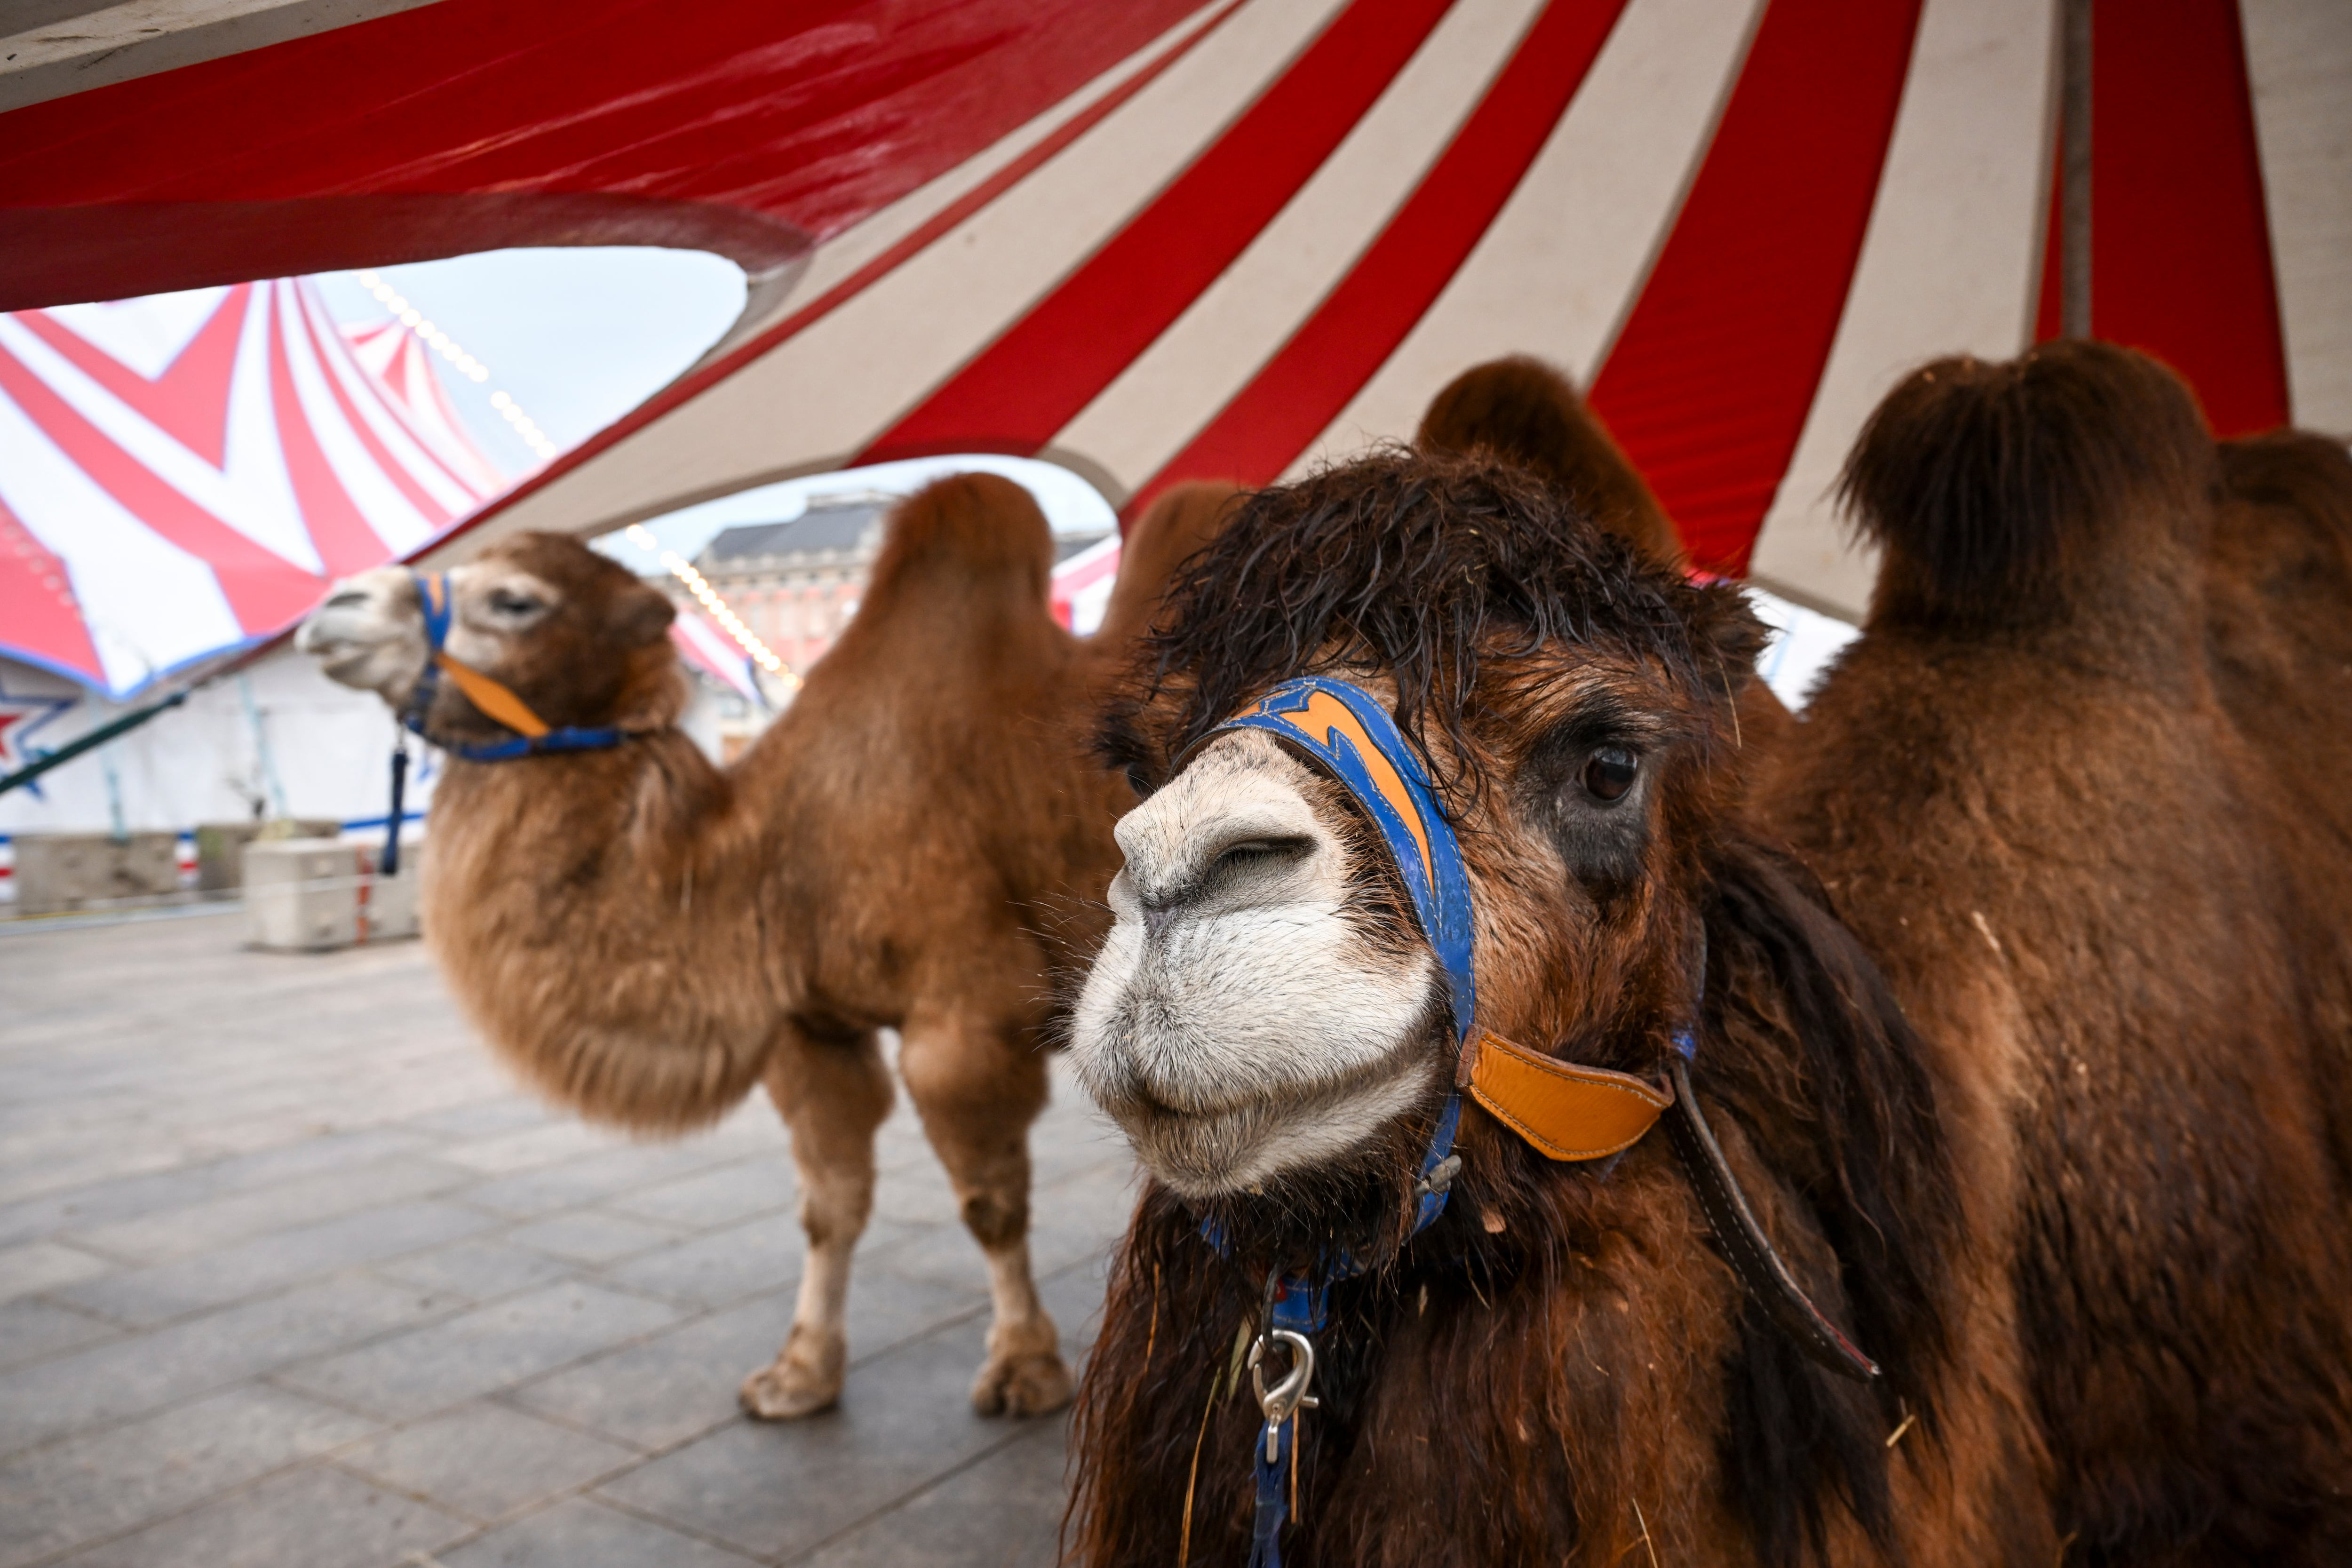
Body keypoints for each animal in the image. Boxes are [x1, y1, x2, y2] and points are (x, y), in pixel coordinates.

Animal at [294, 475, 1232, 1420]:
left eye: (515, 599)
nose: (336, 606)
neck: (771, 849)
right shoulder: (809, 1027)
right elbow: (829, 1205)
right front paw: (800, 1372)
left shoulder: (964, 1019)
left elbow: (988, 1203)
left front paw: (1023, 1368)